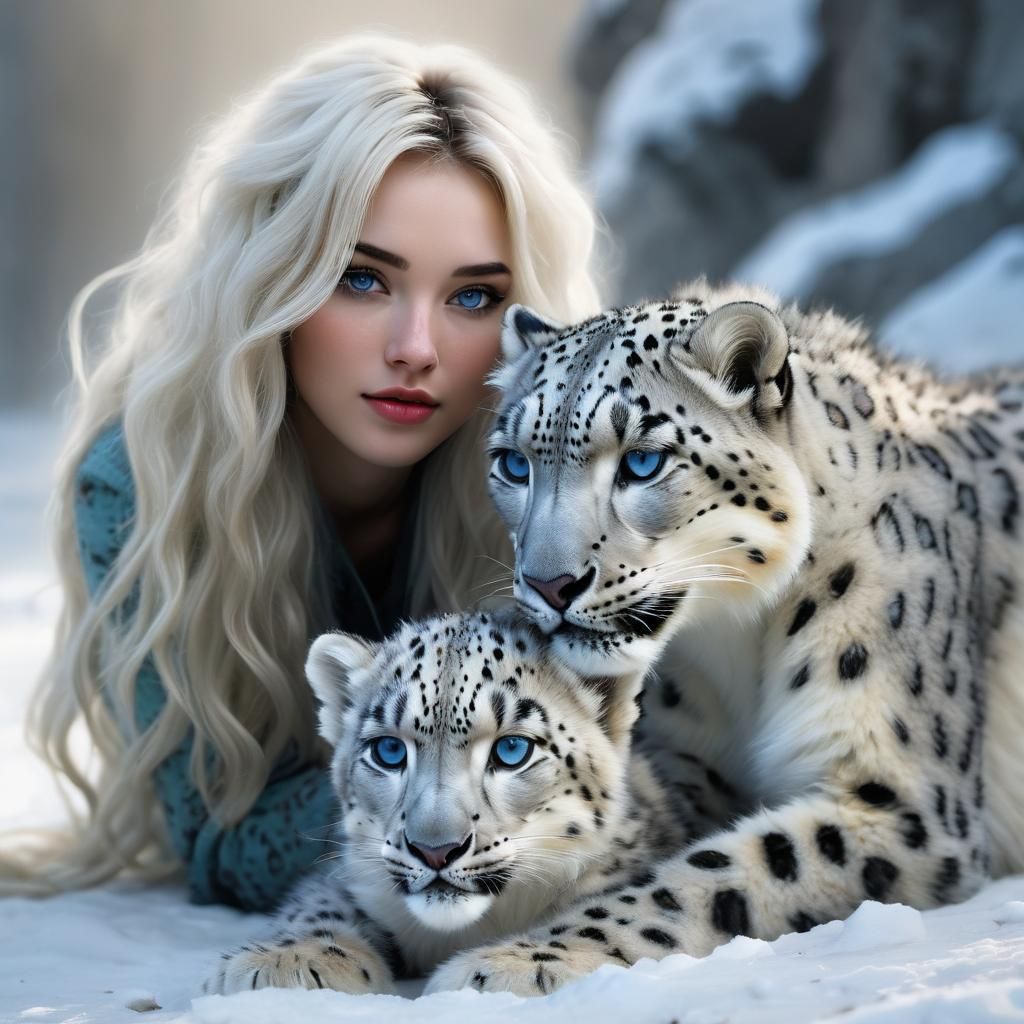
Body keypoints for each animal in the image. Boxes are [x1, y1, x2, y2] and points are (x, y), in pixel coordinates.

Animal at [204, 610, 696, 995]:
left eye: (512, 749)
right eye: (389, 750)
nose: (435, 850)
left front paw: (511, 969)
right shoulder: (349, 876)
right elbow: (320, 902)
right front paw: (289, 959)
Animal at [424, 278, 1024, 996]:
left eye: (643, 461)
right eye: (514, 464)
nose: (550, 584)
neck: (737, 649)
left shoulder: (903, 799)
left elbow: (716, 873)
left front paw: (507, 961)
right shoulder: (684, 764)